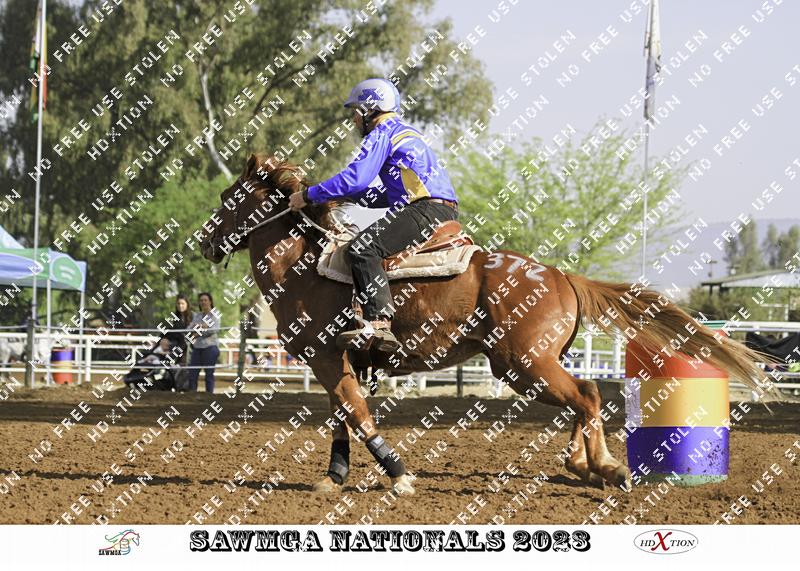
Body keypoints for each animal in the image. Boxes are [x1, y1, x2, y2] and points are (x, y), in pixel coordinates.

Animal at [199, 153, 766, 495]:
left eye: (229, 197)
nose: (204, 242)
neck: (305, 268)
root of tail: (560, 274)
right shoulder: (339, 360)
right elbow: (344, 417)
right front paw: (333, 478)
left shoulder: (324, 356)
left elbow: (356, 415)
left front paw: (399, 476)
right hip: (528, 365)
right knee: (584, 397)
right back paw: (584, 465)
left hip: (524, 363)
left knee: (586, 395)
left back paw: (603, 466)